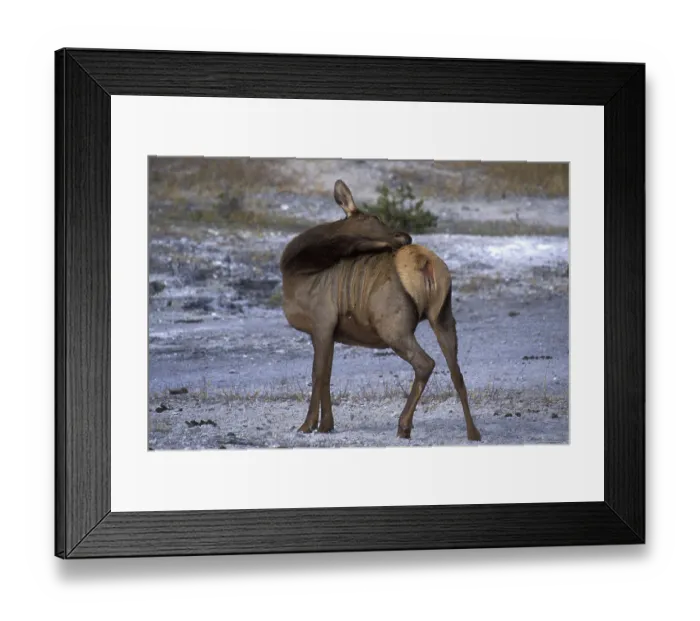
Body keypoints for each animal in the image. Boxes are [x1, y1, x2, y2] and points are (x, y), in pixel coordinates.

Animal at [279, 180, 481, 442]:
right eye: (374, 217)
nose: (404, 235)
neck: (296, 271)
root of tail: (425, 263)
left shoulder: (321, 319)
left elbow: (318, 373)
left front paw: (308, 424)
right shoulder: (328, 331)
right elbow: (328, 374)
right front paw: (326, 425)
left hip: (392, 325)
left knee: (425, 363)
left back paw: (404, 425)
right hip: (443, 315)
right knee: (457, 372)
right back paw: (473, 432)